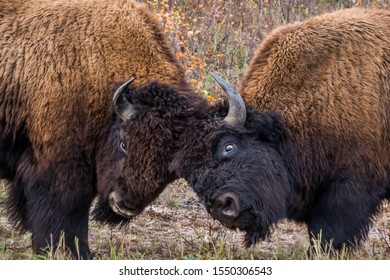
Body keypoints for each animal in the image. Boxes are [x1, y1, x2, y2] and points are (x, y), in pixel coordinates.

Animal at [0, 0, 207, 260]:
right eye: (123, 144)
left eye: (169, 168)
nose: (124, 206)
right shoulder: (59, 169)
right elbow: (66, 217)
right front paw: (72, 252)